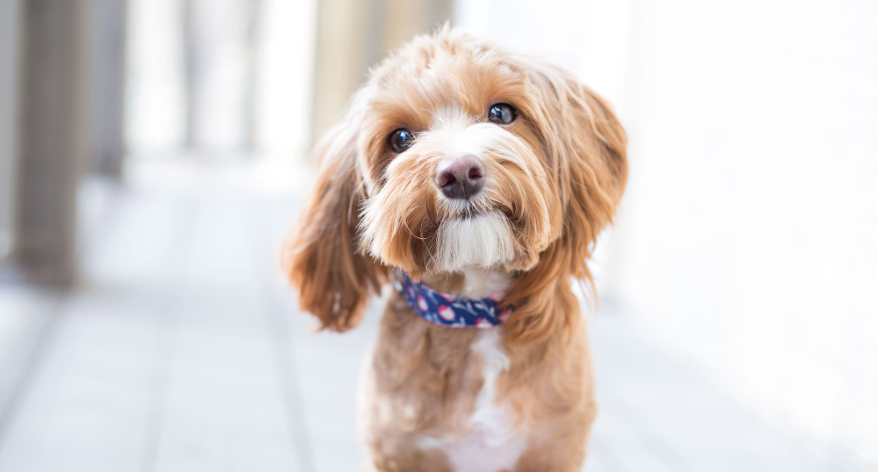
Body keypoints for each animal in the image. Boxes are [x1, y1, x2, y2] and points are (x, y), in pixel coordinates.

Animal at [282, 26, 624, 472]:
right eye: (400, 138)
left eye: (502, 114)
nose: (459, 172)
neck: (474, 313)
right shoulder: (396, 452)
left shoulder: (556, 447)